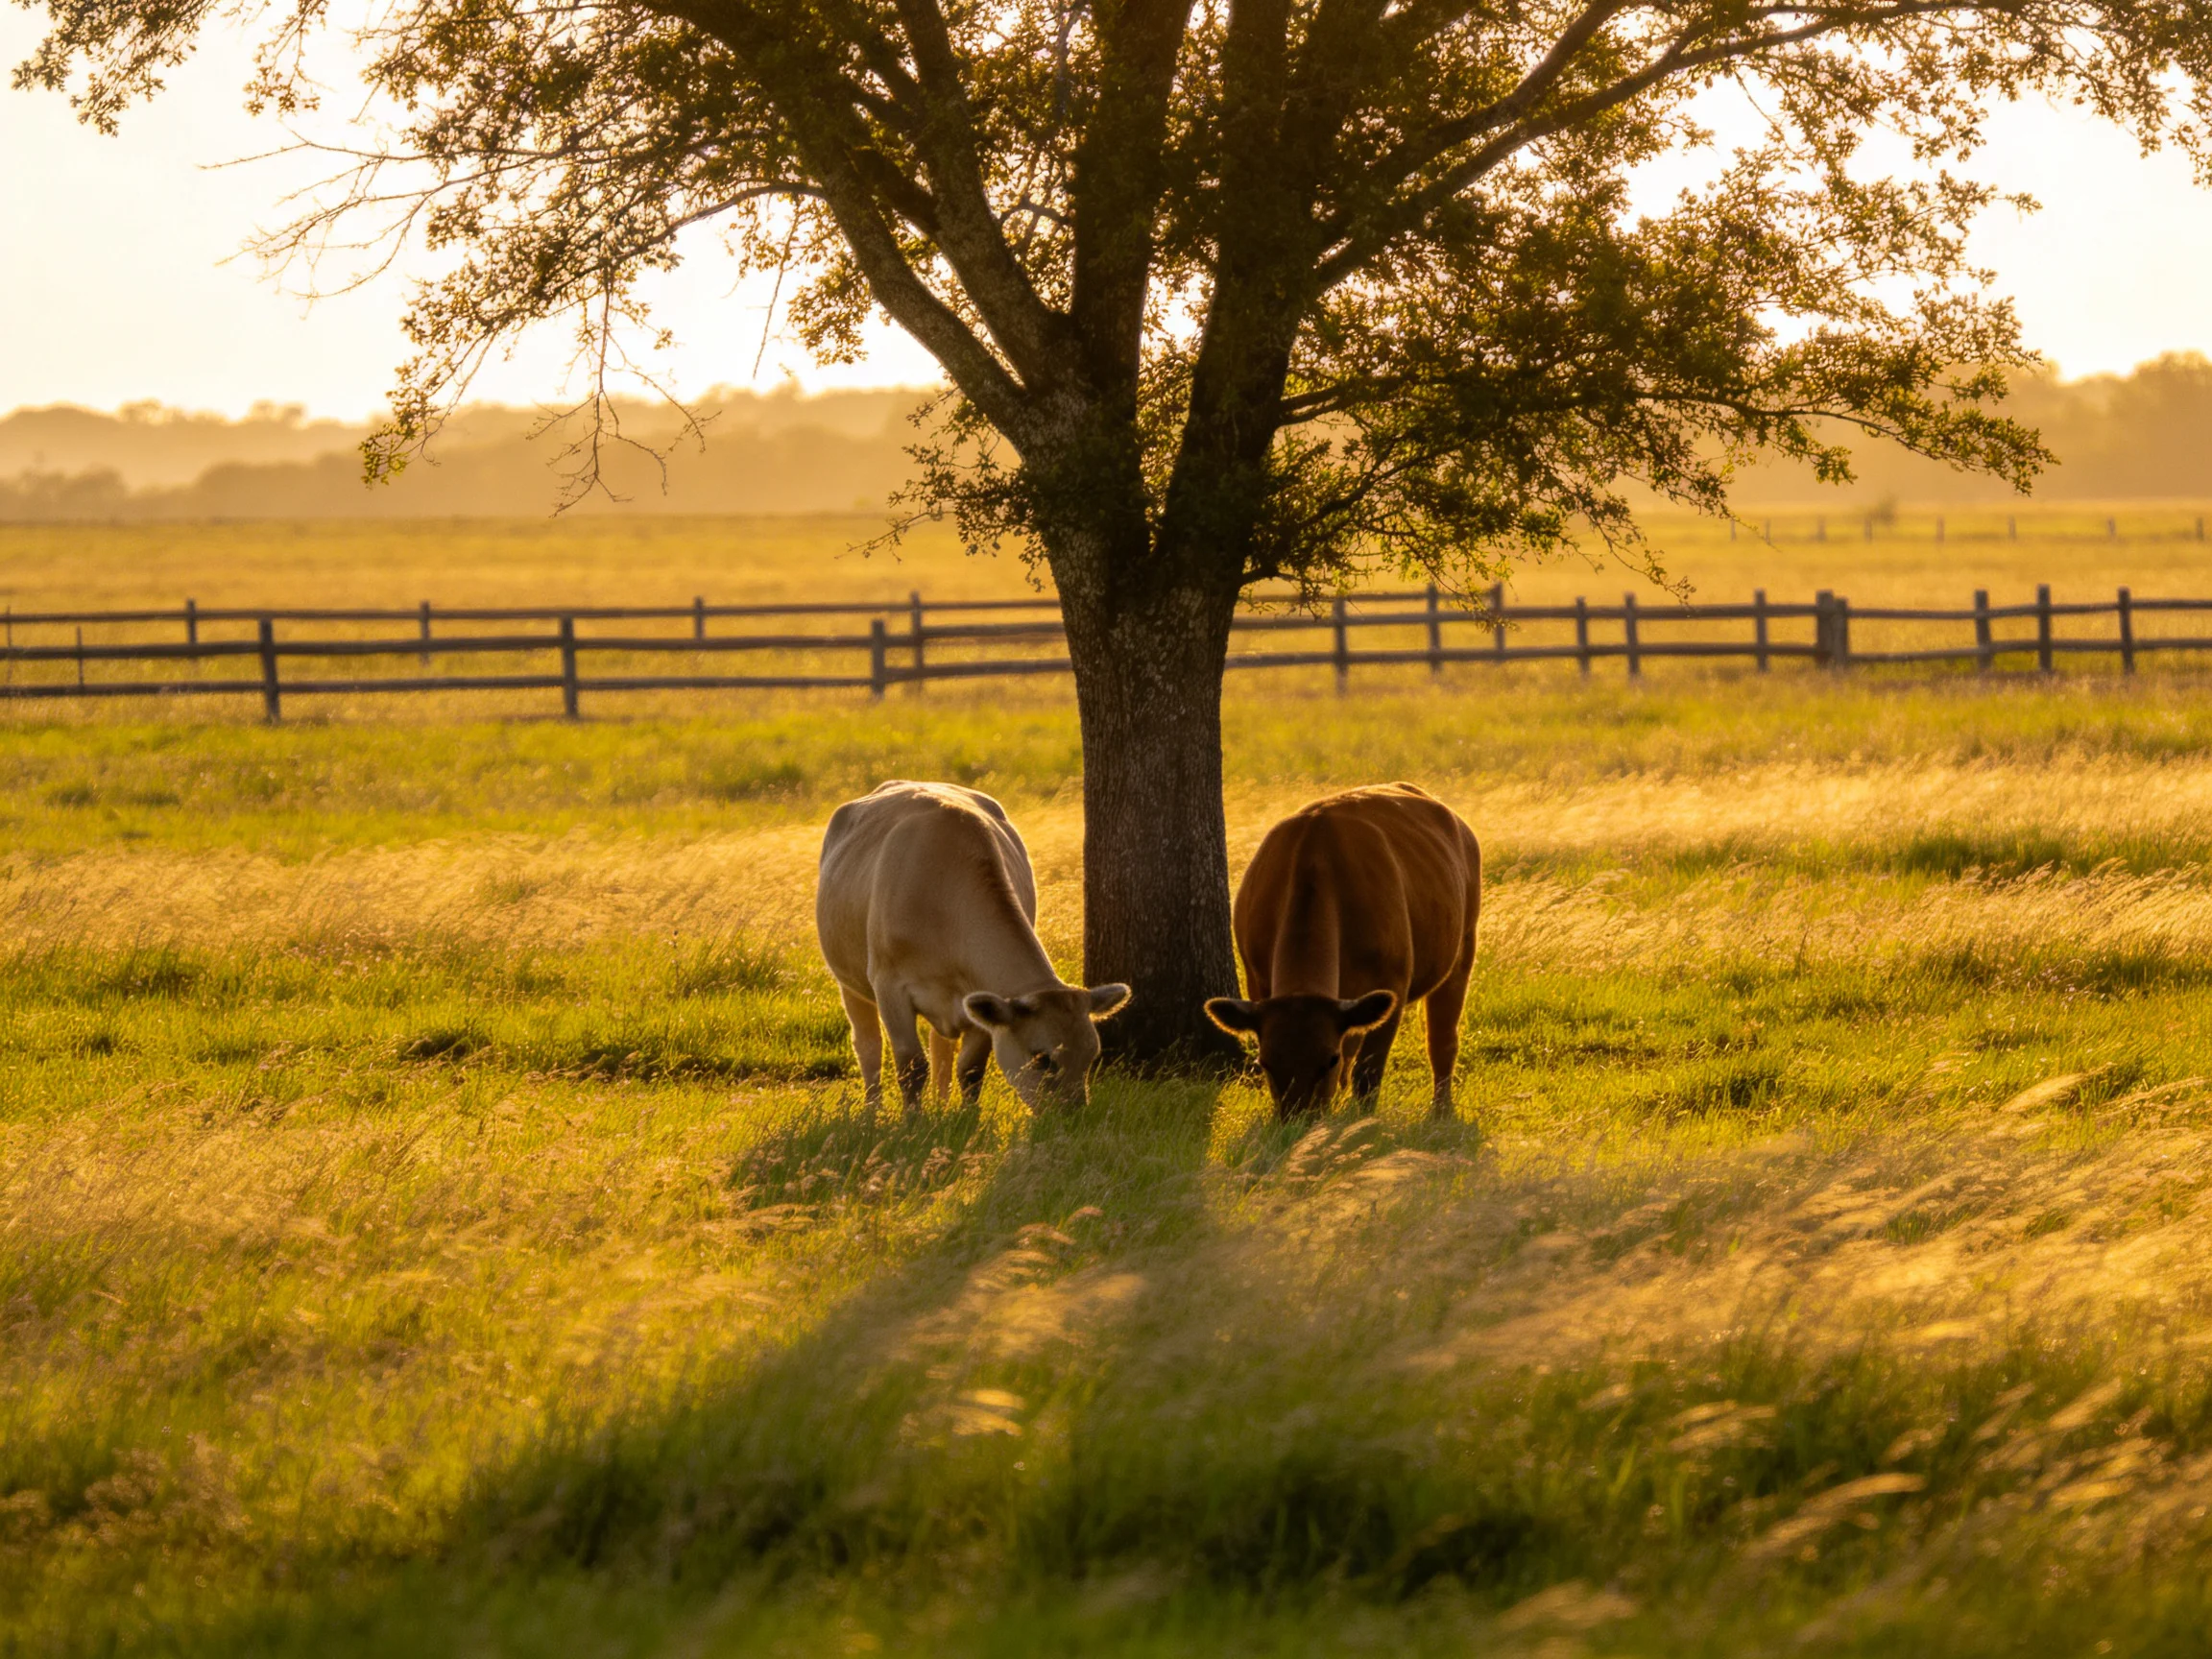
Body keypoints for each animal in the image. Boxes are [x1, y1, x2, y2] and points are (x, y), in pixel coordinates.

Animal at [816, 780, 1130, 1112]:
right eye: (1042, 1059)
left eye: (1091, 1056)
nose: (1072, 1115)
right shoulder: (890, 986)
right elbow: (911, 1067)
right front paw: (911, 1121)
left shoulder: (981, 997)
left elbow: (971, 1069)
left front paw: (966, 1119)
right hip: (849, 982)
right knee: (868, 1046)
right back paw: (872, 1110)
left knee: (940, 1047)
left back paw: (940, 1106)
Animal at [1204, 783, 1480, 1118]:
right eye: (1264, 1063)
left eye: (1328, 1060)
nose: (1299, 1121)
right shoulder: (1257, 981)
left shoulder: (1393, 985)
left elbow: (1368, 1071)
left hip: (1464, 945)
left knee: (1441, 1039)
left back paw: (1441, 1109)